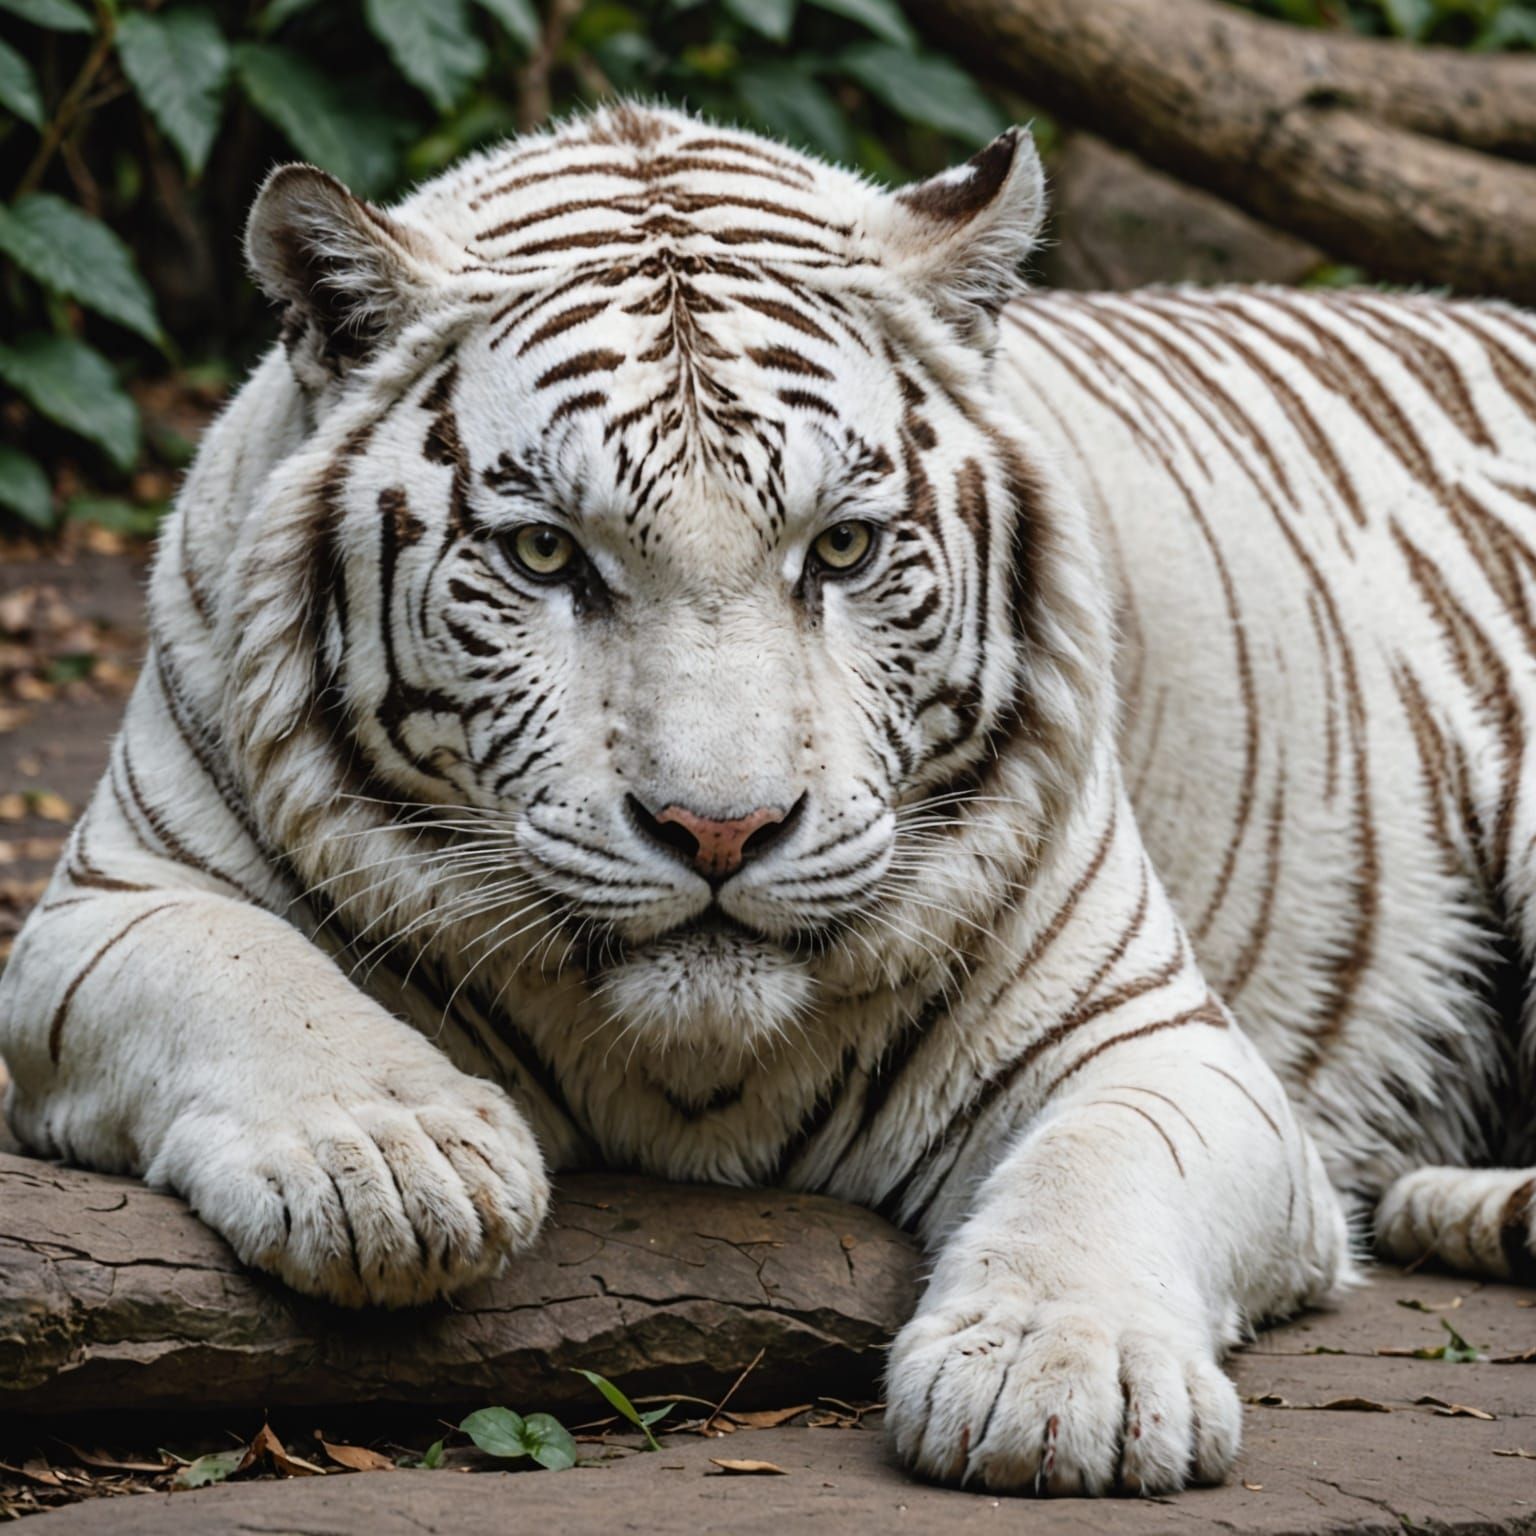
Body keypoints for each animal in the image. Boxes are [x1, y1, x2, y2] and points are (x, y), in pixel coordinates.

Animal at [2, 101, 1533, 1498]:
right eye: (546, 555)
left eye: (843, 549)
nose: (721, 830)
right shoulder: (101, 913)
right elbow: (246, 972)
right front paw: (394, 1161)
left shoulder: (1153, 1032)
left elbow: (1105, 1161)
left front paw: (1057, 1377)